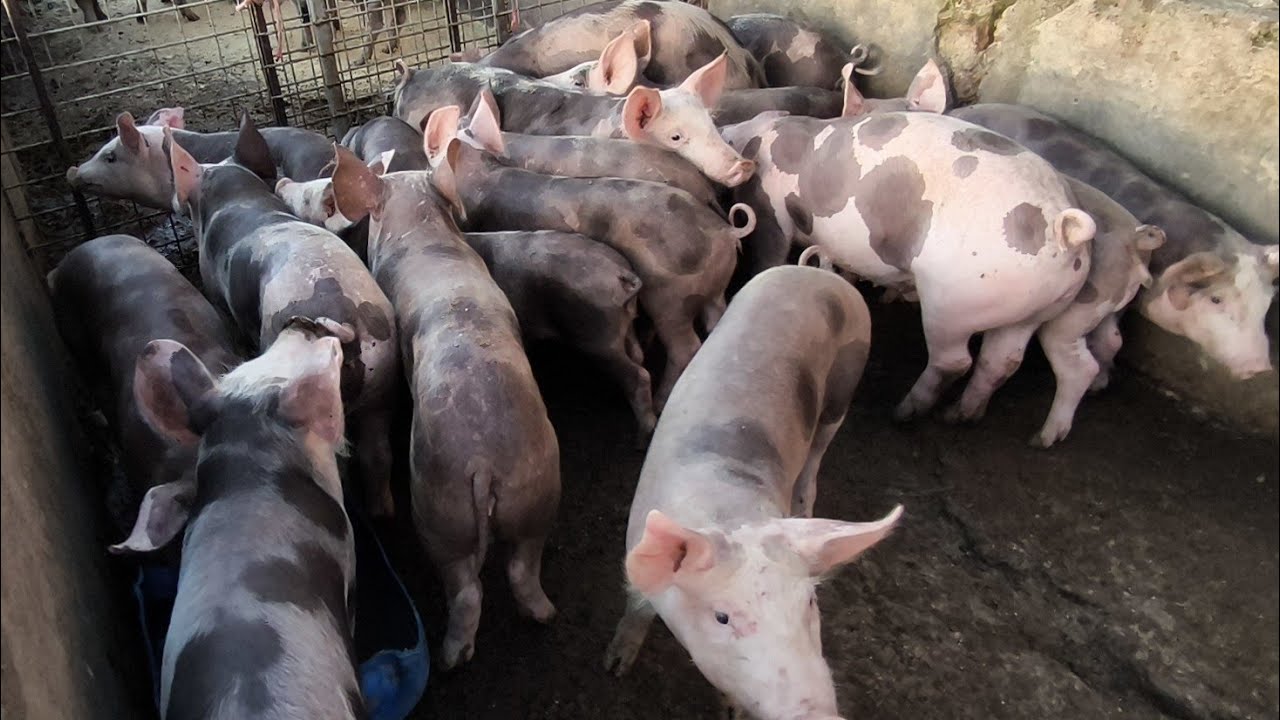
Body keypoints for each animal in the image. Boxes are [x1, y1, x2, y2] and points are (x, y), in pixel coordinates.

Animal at [164, 114, 400, 518]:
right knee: (378, 455)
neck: (237, 196)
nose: (283, 180)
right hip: (381, 377)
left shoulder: (215, 290)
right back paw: (384, 512)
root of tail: (347, 321)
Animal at [327, 144, 561, 669]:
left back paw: (452, 658)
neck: (424, 230)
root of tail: (486, 461)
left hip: (439, 503)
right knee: (523, 565)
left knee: (465, 586)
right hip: (537, 487)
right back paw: (545, 615)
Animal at [427, 98, 756, 406]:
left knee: (683, 347)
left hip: (671, 295)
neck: (483, 172)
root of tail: (724, 231)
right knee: (714, 318)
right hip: (712, 287)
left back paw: (663, 399)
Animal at [603, 264, 903, 720]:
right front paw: (615, 665)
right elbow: (635, 611)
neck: (731, 511)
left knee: (818, 452)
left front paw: (731, 712)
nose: (816, 714)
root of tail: (818, 272)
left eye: (809, 604)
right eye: (723, 617)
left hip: (847, 380)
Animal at [719, 111, 1096, 422]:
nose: (725, 129)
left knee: (954, 360)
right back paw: (962, 416)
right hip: (1032, 309)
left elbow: (769, 252)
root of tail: (1063, 227)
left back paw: (903, 413)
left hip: (953, 301)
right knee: (1003, 361)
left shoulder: (769, 211)